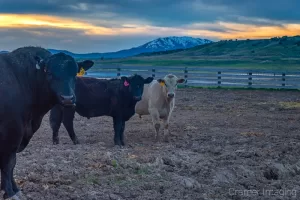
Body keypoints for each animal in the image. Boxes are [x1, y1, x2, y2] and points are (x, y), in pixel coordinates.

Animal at [0, 46, 93, 199]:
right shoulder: (12, 132)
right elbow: (8, 164)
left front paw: (14, 189)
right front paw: (10, 193)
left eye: (74, 74)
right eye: (49, 72)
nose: (67, 98)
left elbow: (11, 165)